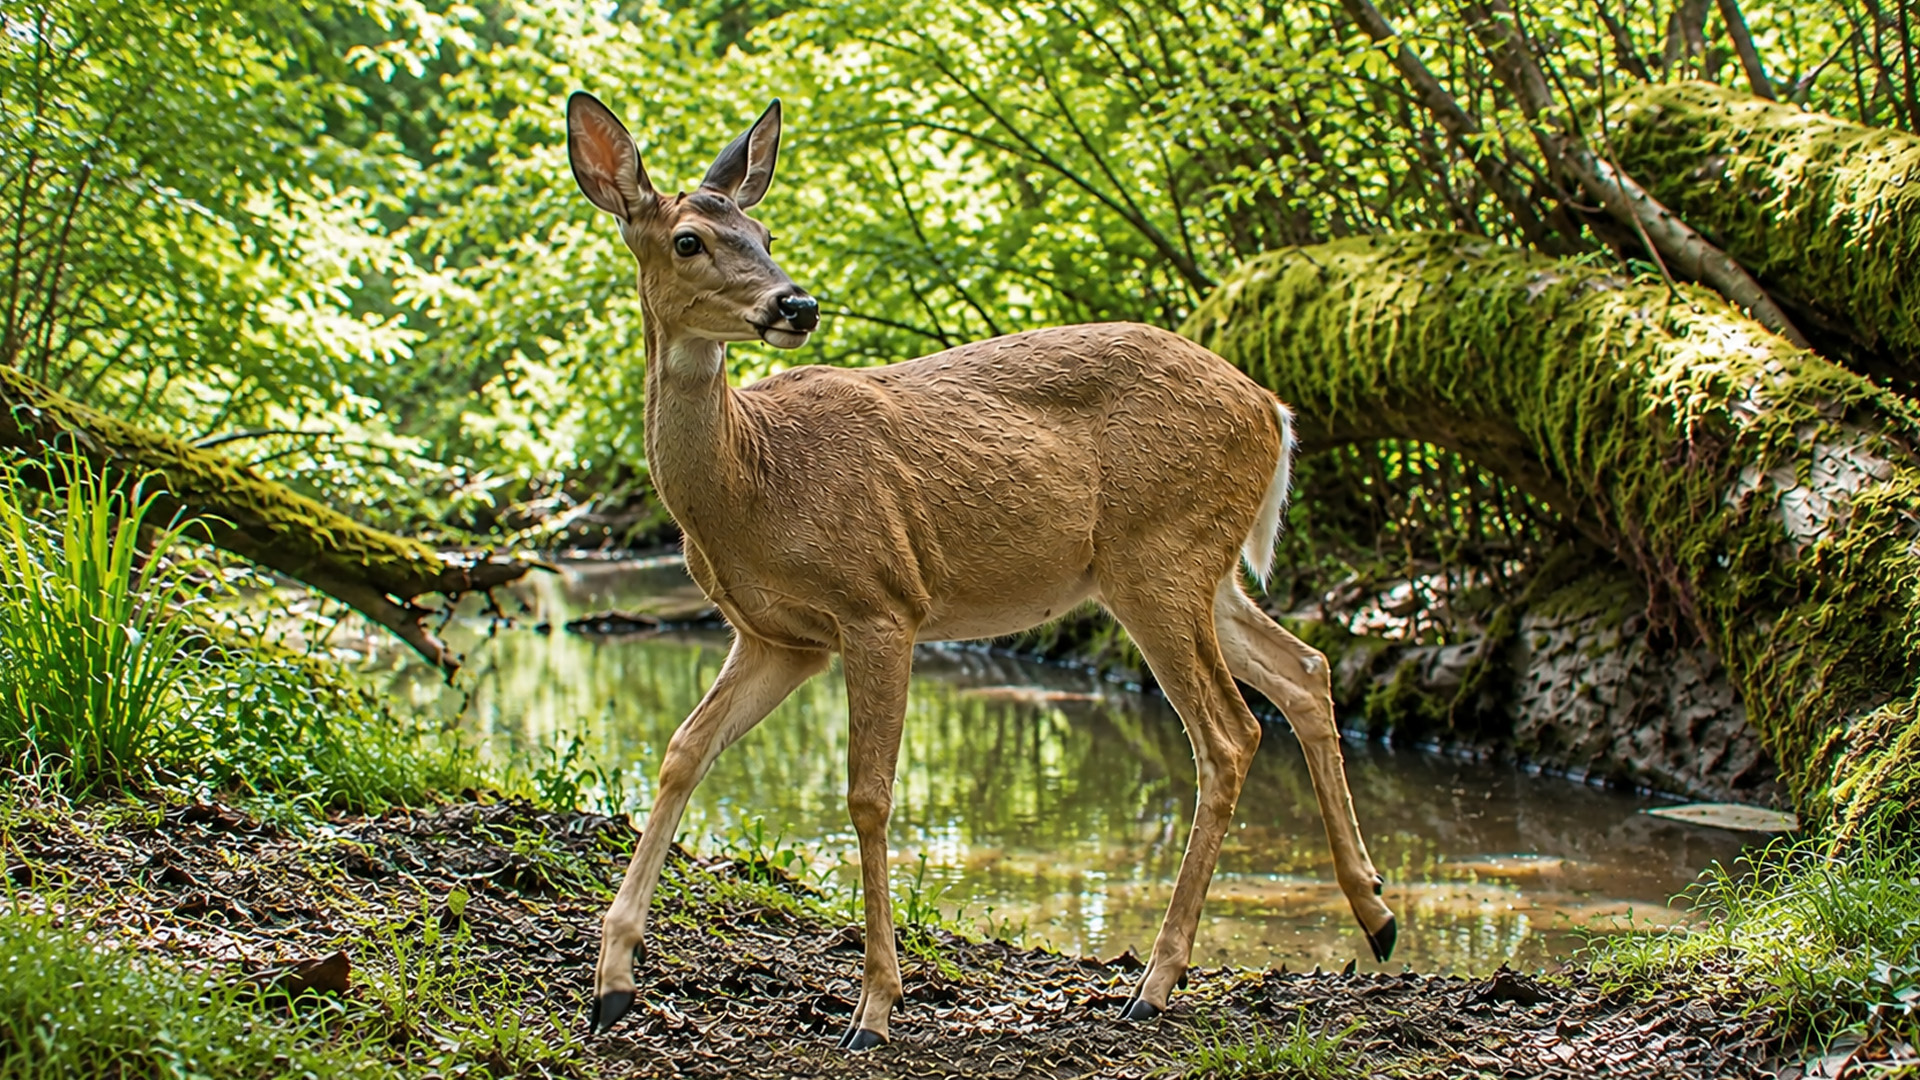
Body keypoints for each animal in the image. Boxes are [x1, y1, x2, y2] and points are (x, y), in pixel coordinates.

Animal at [566, 91, 1397, 1049]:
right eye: (690, 240)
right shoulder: (778, 637)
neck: (755, 480)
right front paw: (611, 981)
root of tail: (1272, 406)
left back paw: (1155, 983)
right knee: (1306, 668)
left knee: (1228, 732)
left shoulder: (881, 601)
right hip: (1197, 566)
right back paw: (1377, 915)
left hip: (1158, 554)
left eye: (765, 230)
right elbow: (681, 753)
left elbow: (868, 795)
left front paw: (875, 1007)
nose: (796, 303)